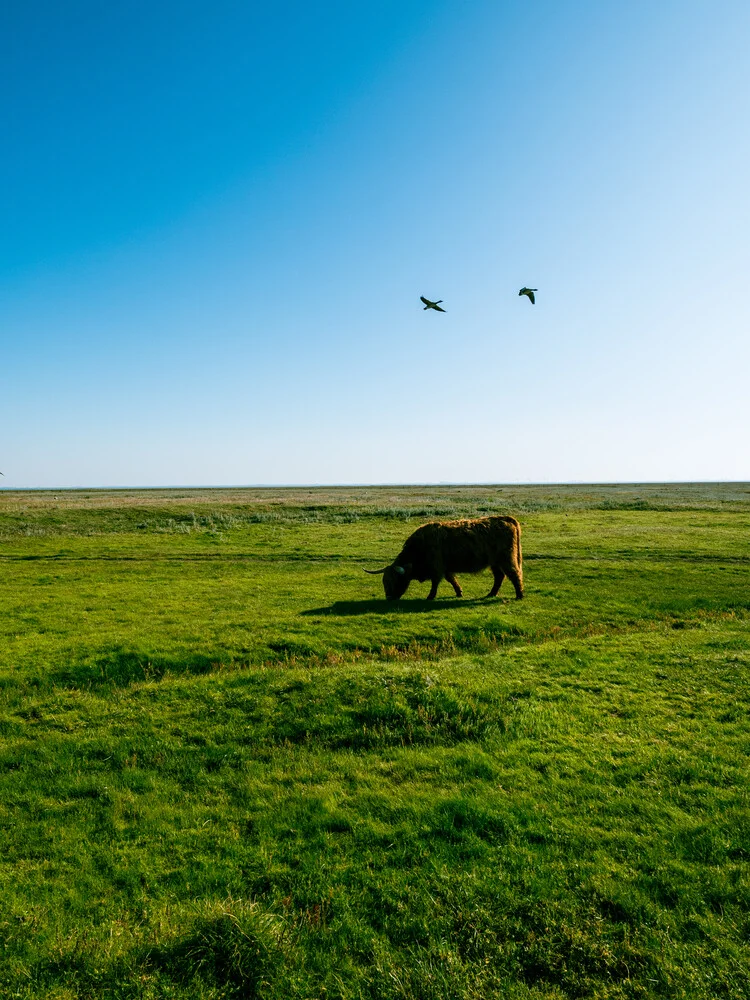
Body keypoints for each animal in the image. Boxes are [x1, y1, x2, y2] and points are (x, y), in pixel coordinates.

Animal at [368, 516, 524, 600]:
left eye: (395, 580)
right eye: (384, 581)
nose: (389, 598)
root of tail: (505, 519)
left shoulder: (436, 567)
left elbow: (435, 582)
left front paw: (430, 596)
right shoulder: (446, 567)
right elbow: (451, 579)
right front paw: (459, 592)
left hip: (506, 559)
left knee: (514, 574)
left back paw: (519, 595)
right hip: (495, 562)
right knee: (499, 576)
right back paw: (491, 593)